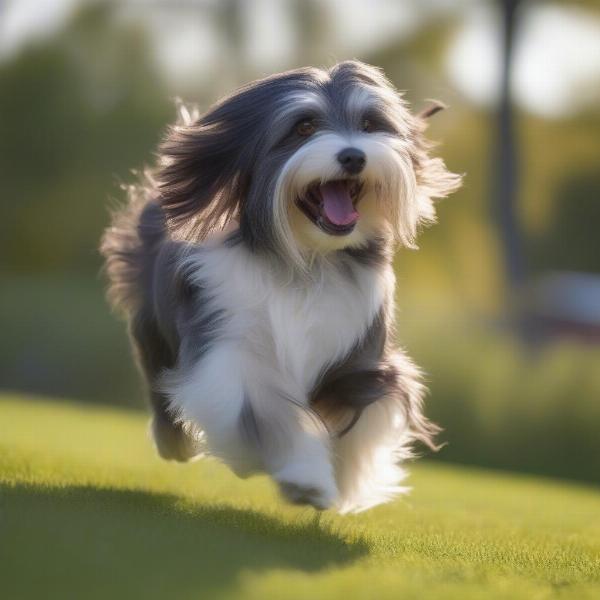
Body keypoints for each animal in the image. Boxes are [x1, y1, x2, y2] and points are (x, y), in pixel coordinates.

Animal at [101, 59, 462, 510]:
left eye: (369, 124)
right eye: (304, 127)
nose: (353, 155)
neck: (304, 260)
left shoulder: (361, 351)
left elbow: (368, 408)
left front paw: (345, 481)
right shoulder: (230, 345)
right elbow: (263, 412)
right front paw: (306, 477)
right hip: (153, 327)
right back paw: (173, 444)